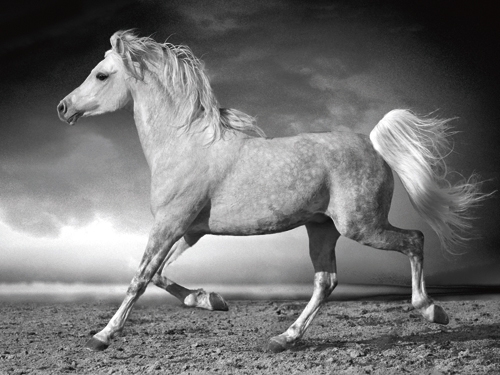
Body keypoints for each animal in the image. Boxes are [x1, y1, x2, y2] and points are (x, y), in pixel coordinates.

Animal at [56, 30, 482, 354]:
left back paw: (432, 311)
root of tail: (374, 144)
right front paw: (212, 300)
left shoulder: (170, 224)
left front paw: (102, 336)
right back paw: (284, 338)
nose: (63, 108)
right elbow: (160, 275)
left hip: (360, 225)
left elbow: (141, 277)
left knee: (414, 239)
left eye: (101, 75)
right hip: (322, 228)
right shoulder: (190, 230)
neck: (183, 144)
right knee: (326, 282)